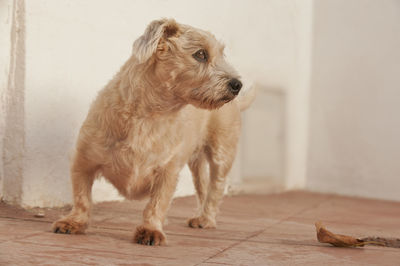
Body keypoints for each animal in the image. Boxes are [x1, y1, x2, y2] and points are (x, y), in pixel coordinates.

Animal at [52, 19, 253, 247]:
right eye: (201, 54)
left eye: (222, 54)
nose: (237, 84)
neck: (149, 117)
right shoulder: (83, 160)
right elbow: (82, 197)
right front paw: (74, 222)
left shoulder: (168, 171)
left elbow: (157, 203)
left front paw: (150, 230)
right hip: (197, 163)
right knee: (203, 187)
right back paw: (200, 215)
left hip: (222, 153)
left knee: (215, 189)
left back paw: (206, 219)